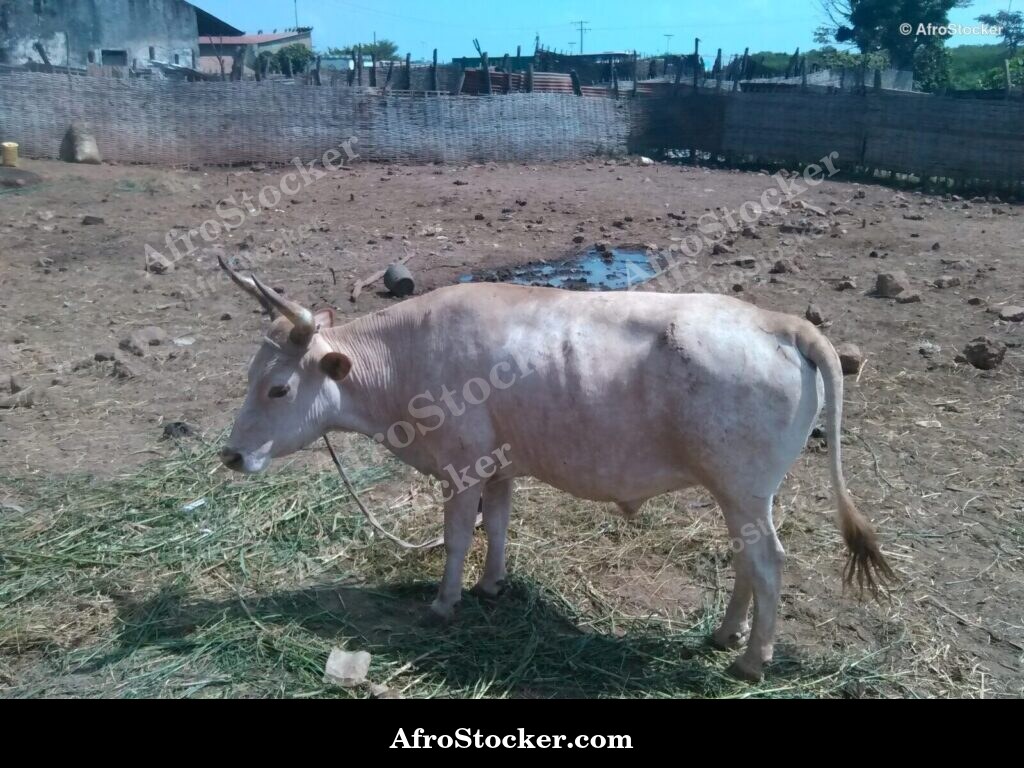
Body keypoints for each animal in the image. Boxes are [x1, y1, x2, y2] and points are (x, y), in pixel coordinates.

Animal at [216, 256, 892, 682]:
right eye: (250, 376)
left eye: (278, 388)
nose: (231, 455)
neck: (404, 356)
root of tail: (782, 322)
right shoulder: (500, 464)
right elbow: (498, 524)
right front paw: (492, 586)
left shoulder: (461, 465)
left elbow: (458, 536)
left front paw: (444, 603)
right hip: (739, 494)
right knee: (747, 559)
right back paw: (725, 634)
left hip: (745, 487)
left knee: (768, 561)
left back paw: (750, 661)